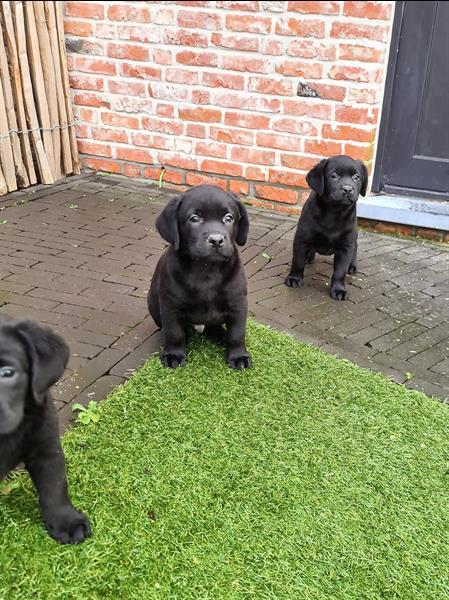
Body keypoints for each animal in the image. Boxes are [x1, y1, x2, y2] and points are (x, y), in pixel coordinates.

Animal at [148, 184, 250, 370]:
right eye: (194, 219)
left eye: (229, 218)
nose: (216, 240)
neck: (206, 268)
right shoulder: (170, 305)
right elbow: (174, 332)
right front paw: (173, 354)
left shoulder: (238, 303)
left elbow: (237, 334)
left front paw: (238, 356)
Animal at [286, 155, 366, 300]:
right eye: (334, 176)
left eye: (356, 177)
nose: (348, 189)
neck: (333, 212)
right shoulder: (302, 238)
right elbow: (297, 261)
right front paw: (294, 278)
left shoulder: (346, 246)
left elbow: (340, 271)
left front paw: (339, 289)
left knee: (355, 247)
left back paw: (352, 265)